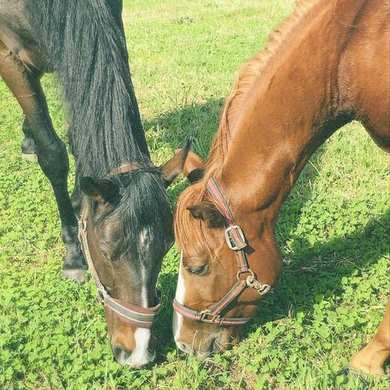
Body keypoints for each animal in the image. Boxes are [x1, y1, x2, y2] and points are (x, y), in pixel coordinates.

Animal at [0, 0, 189, 368]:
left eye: (166, 246)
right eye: (105, 251)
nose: (137, 352)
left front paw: (79, 199)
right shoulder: (9, 58)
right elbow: (54, 154)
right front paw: (73, 255)